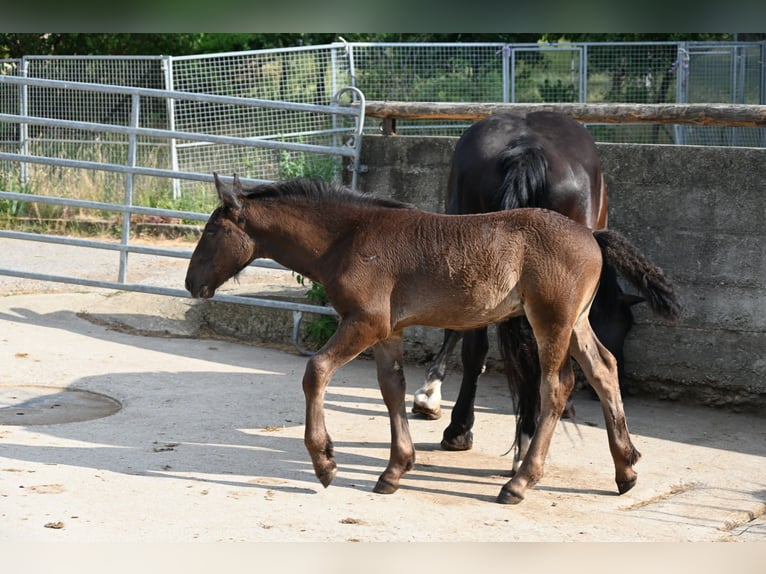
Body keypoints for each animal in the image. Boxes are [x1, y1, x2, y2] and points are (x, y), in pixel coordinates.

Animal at [185, 174, 680, 504]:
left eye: (210, 231)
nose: (192, 283)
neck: (348, 236)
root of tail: (592, 234)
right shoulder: (388, 331)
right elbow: (392, 390)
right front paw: (394, 471)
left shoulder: (364, 322)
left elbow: (316, 370)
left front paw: (325, 462)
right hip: (575, 322)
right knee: (604, 370)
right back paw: (625, 471)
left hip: (551, 321)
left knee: (557, 387)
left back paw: (519, 482)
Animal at [411, 111, 645, 465]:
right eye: (625, 325)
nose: (627, 387)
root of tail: (526, 149)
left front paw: (429, 395)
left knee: (478, 344)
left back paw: (463, 430)